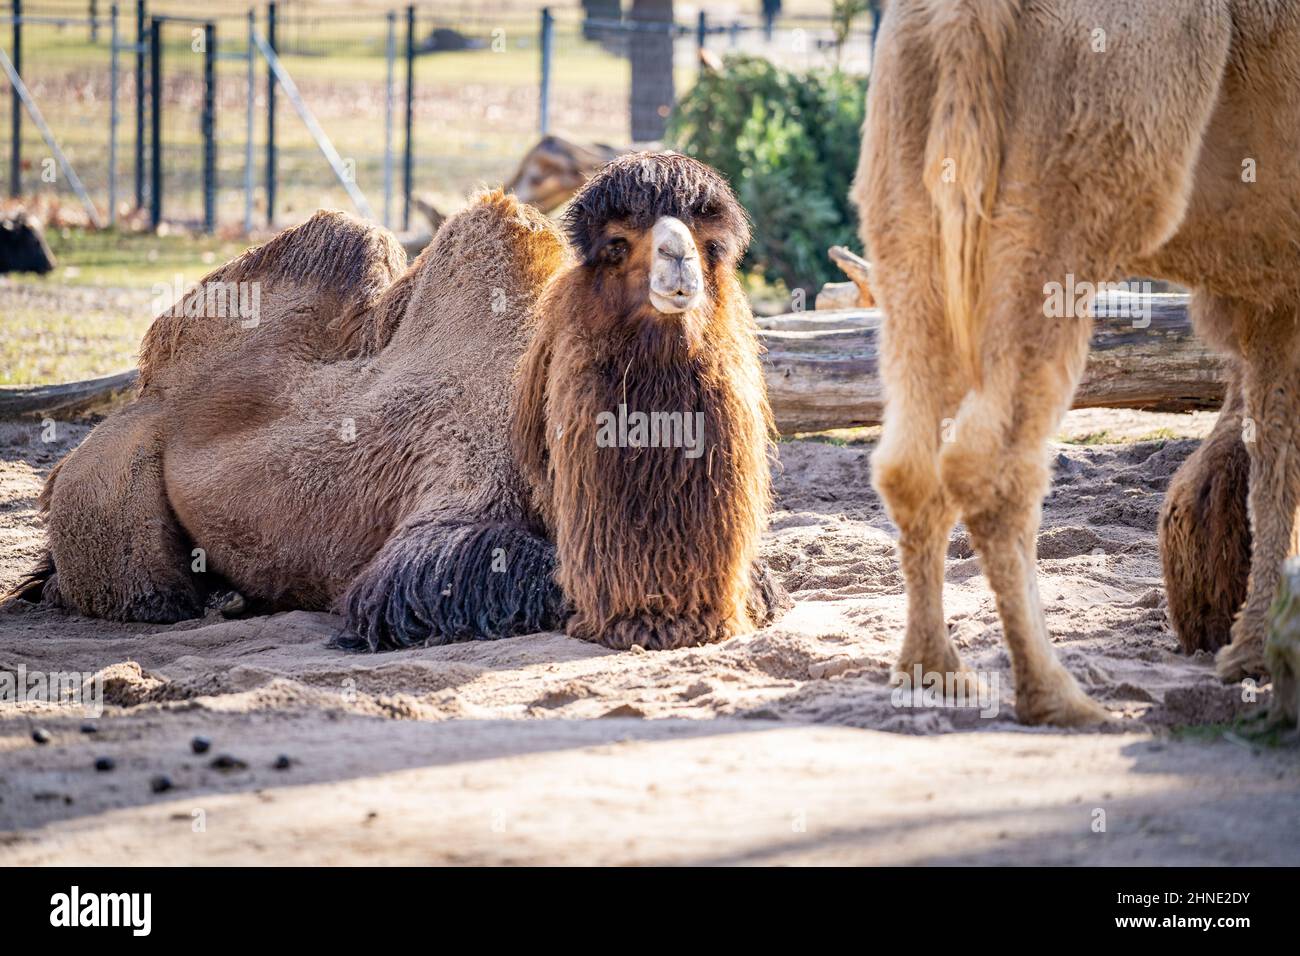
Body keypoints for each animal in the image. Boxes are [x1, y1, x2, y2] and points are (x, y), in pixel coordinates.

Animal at [7, 155, 780, 650]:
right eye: (617, 244)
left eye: (711, 241)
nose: (678, 265)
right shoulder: (444, 527)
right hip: (110, 487)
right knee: (145, 592)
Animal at [852, 0, 1300, 723]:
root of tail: (959, 14)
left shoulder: (1275, 300)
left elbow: (1274, 456)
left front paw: (1251, 654)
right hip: (1074, 169)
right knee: (990, 457)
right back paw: (1060, 698)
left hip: (908, 167)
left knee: (909, 455)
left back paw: (939, 674)